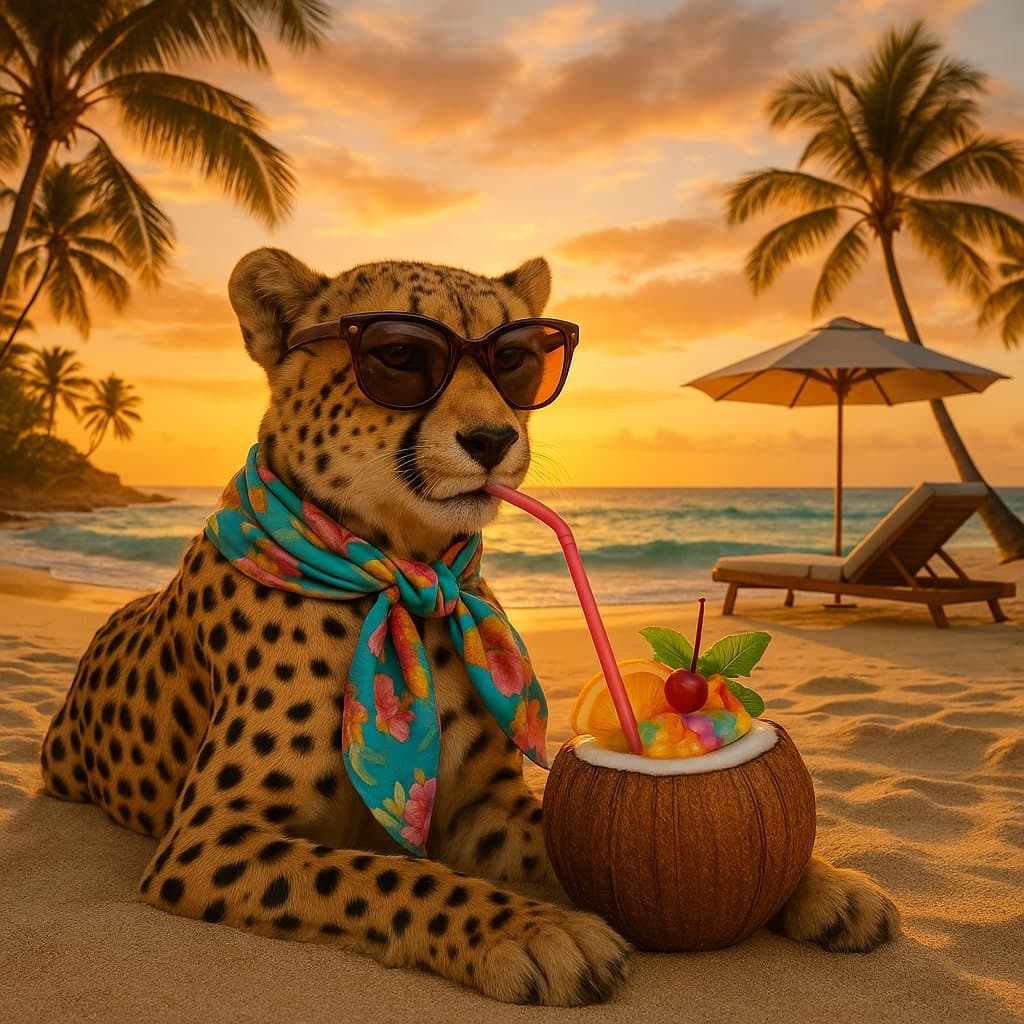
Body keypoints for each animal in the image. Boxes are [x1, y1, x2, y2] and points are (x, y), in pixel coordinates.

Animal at [39, 248, 899, 1005]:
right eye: (398, 355)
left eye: (517, 359)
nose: (492, 440)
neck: (408, 573)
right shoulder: (207, 838)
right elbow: (389, 872)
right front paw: (532, 931)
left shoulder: (480, 810)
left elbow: (569, 830)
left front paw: (813, 883)